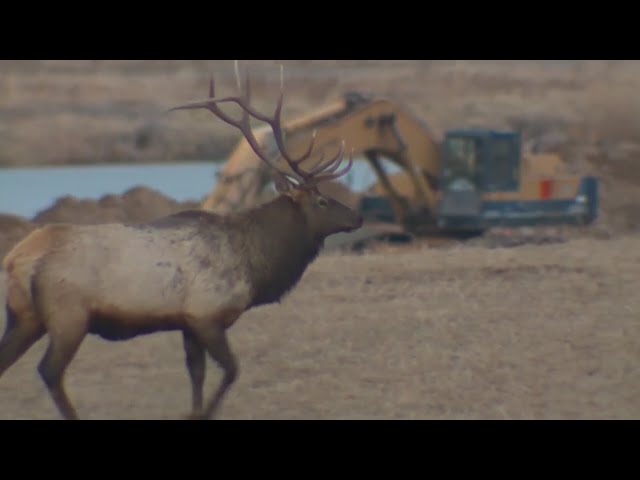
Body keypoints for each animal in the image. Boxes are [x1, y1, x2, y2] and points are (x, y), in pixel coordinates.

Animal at [0, 64, 362, 420]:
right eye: (322, 201)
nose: (357, 217)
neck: (255, 264)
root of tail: (18, 259)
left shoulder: (187, 322)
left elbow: (196, 373)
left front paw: (194, 410)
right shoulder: (207, 315)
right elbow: (232, 370)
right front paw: (200, 414)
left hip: (24, 316)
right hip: (69, 316)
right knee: (50, 371)